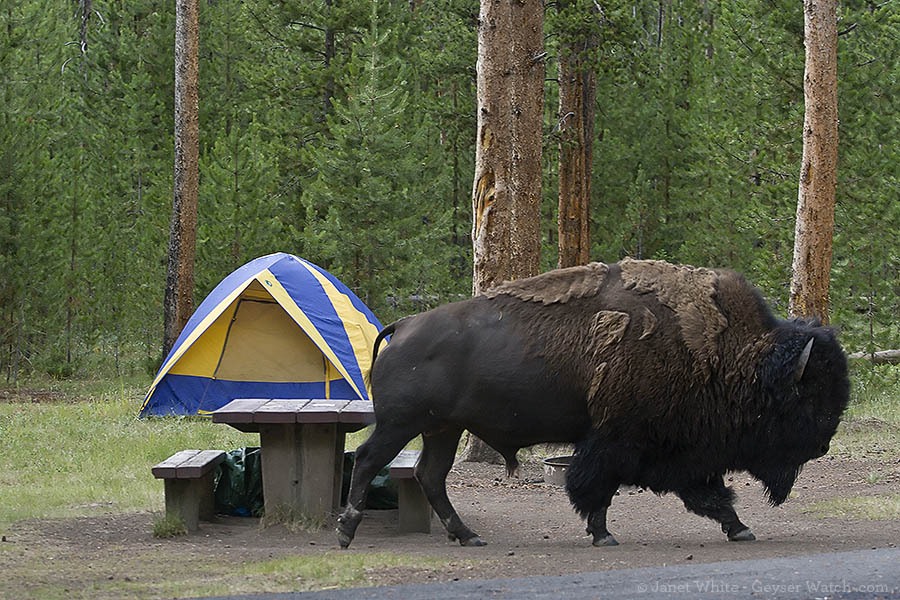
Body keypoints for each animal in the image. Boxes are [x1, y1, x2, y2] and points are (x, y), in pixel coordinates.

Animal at [338, 258, 852, 548]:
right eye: (808, 396)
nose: (823, 445)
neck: (729, 355)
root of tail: (403, 325)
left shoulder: (679, 451)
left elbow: (708, 493)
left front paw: (740, 528)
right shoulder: (617, 441)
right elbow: (597, 488)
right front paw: (603, 535)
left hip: (441, 429)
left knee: (431, 475)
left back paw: (469, 537)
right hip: (401, 424)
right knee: (367, 459)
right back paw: (346, 532)